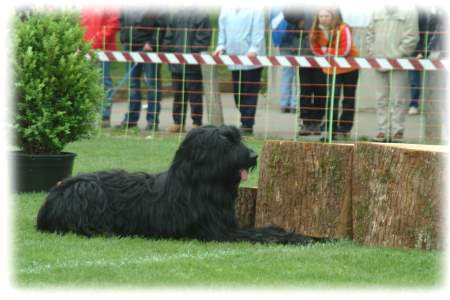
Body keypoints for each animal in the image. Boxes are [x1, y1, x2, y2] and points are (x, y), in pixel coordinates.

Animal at [37, 125, 320, 245]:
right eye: (225, 142)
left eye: (238, 138)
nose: (253, 155)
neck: (197, 185)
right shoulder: (219, 232)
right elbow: (260, 234)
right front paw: (298, 237)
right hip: (87, 190)